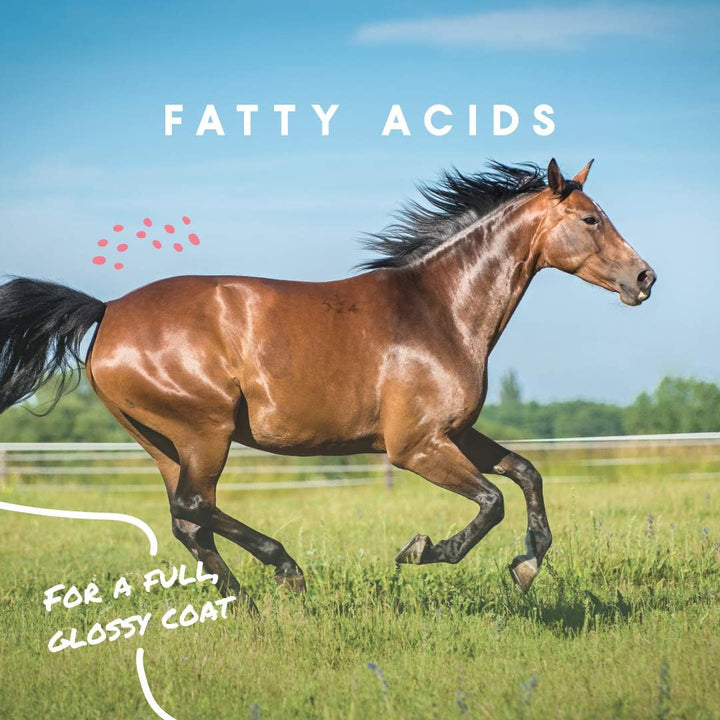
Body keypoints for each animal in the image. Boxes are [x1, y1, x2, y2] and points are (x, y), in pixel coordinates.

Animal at [0, 159, 655, 608]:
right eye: (591, 218)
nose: (645, 278)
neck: (440, 311)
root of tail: (107, 310)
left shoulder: (454, 433)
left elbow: (526, 473)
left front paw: (526, 564)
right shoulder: (415, 447)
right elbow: (492, 501)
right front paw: (423, 551)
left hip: (161, 442)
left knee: (188, 520)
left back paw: (244, 603)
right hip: (203, 431)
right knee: (194, 507)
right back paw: (284, 570)